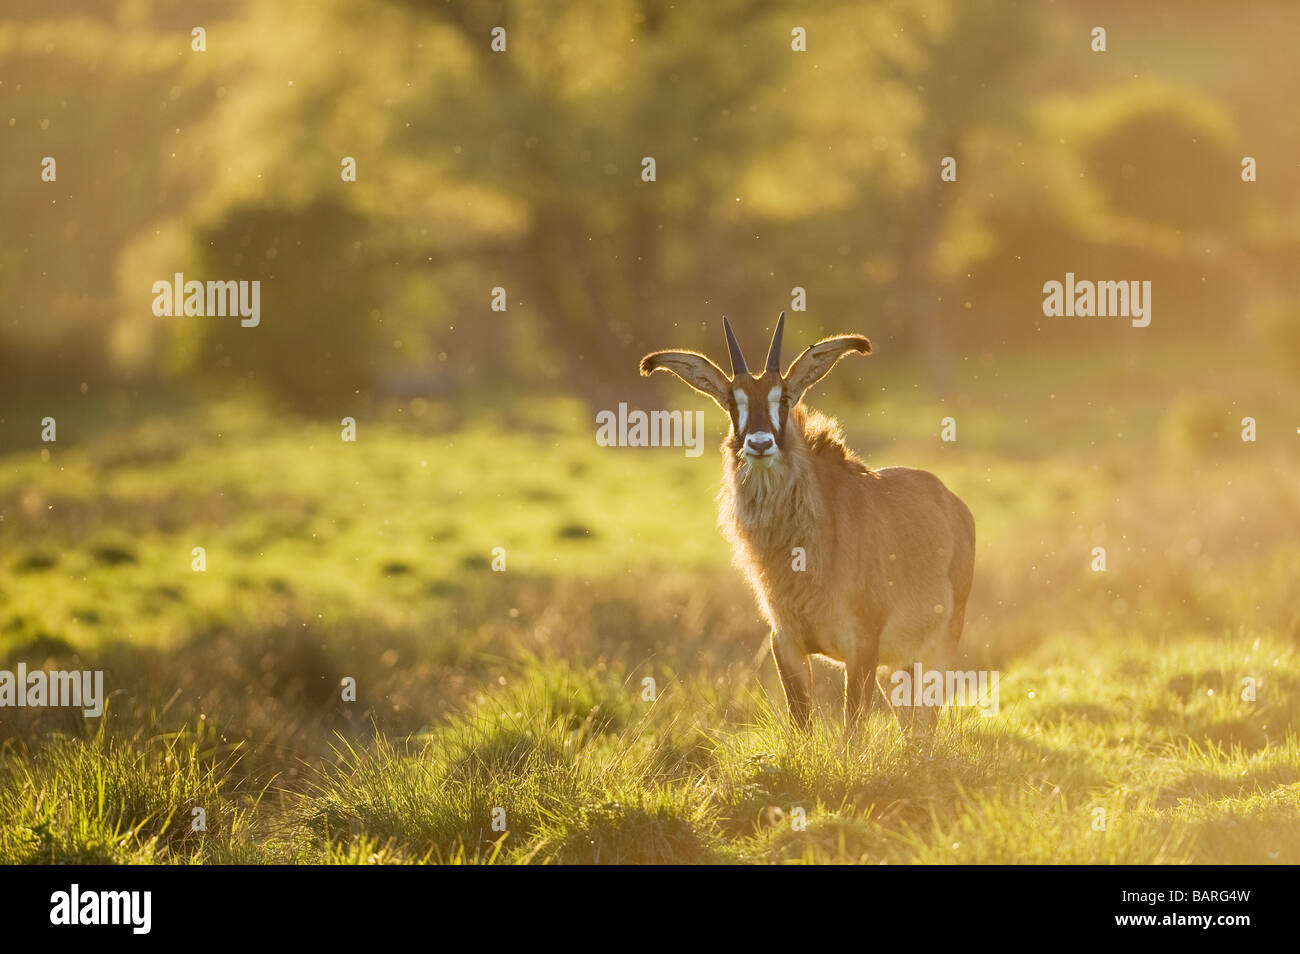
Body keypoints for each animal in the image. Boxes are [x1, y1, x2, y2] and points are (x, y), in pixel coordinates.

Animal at [639, 314, 975, 729]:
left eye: (783, 399)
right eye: (733, 403)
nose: (760, 443)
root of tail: (953, 504)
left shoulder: (862, 645)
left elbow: (852, 728)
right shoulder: (786, 644)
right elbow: (801, 725)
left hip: (939, 646)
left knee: (926, 721)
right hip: (897, 665)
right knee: (911, 722)